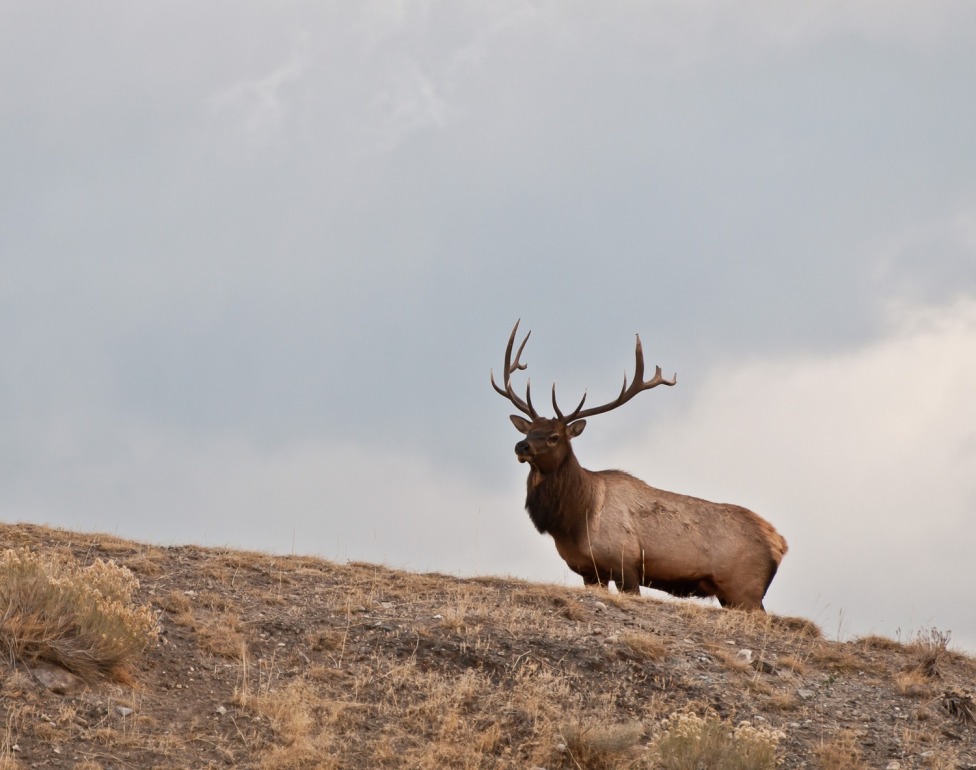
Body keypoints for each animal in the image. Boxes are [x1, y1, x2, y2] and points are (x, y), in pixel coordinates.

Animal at [492, 318, 788, 608]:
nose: (521, 447)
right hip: (730, 594)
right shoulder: (589, 571)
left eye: (554, 437)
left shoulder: (627, 564)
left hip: (746, 589)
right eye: (529, 431)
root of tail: (779, 543)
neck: (575, 520)